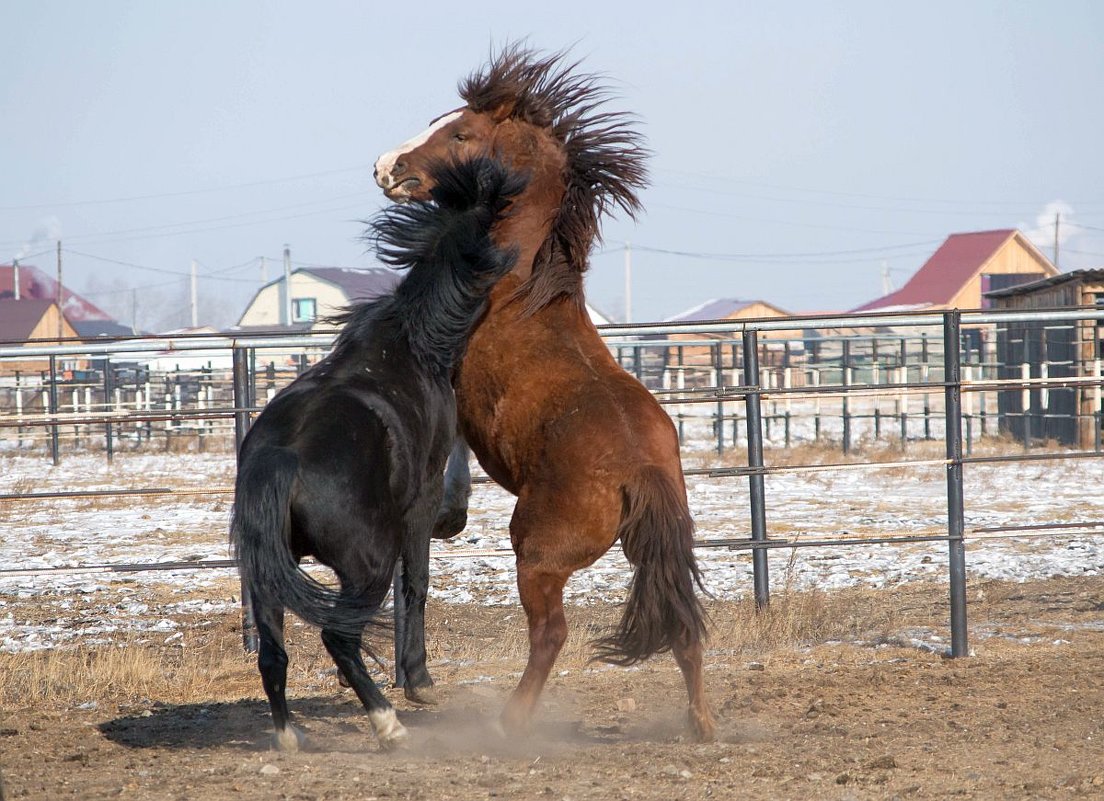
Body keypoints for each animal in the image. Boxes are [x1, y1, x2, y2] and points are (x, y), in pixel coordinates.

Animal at [228, 156, 521, 754]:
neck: (410, 344)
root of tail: (281, 460)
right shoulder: (420, 501)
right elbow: (417, 583)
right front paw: (419, 680)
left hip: (268, 576)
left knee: (275, 653)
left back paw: (289, 737)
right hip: (368, 561)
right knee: (338, 635)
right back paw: (388, 724)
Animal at [370, 47, 715, 741]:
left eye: (461, 134)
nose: (385, 166)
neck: (516, 289)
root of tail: (640, 470)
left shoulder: (449, 384)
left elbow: (452, 450)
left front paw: (448, 513)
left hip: (538, 554)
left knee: (551, 634)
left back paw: (510, 720)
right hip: (649, 553)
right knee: (684, 630)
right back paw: (702, 725)